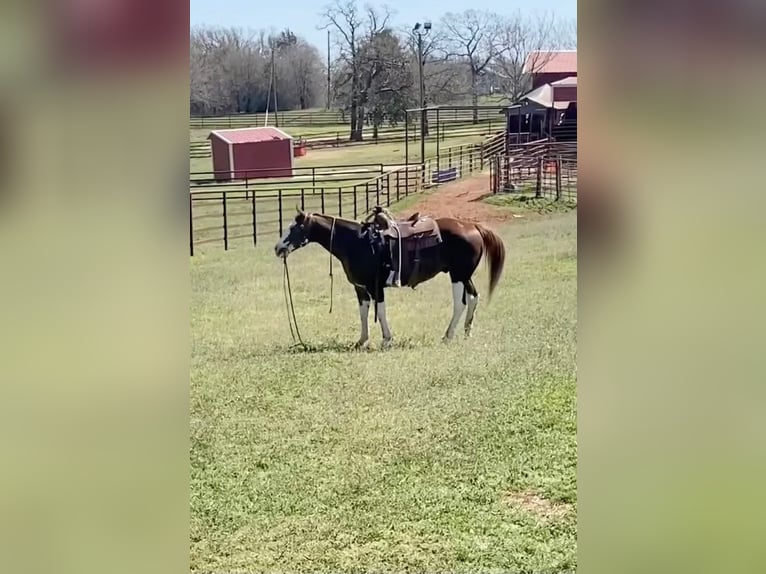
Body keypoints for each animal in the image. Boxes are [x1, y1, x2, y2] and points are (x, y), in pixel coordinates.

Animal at [272, 209, 508, 348]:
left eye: (295, 228)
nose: (277, 248)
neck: (356, 242)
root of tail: (474, 227)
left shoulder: (375, 286)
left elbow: (381, 311)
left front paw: (386, 340)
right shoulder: (360, 288)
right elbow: (363, 313)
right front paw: (362, 340)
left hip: (457, 275)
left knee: (460, 303)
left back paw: (448, 336)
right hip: (464, 275)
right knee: (474, 297)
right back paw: (467, 332)